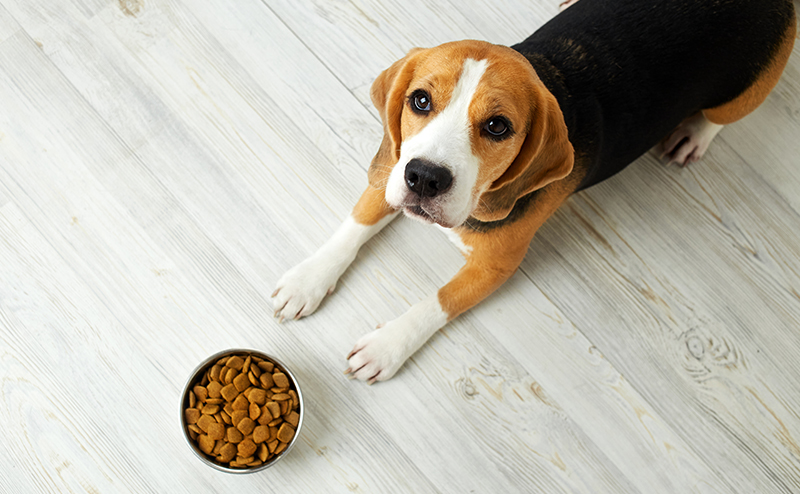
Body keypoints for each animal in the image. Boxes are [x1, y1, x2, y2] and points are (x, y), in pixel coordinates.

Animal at [274, 0, 792, 384]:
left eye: (497, 127)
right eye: (419, 100)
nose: (425, 178)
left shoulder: (496, 266)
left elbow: (437, 301)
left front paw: (387, 345)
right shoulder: (391, 171)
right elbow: (355, 225)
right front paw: (308, 280)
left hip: (743, 96)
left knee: (720, 119)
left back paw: (696, 135)